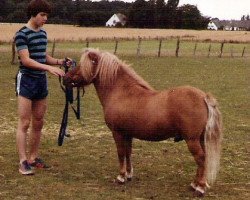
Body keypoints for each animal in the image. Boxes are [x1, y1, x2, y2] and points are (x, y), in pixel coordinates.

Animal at [63, 48, 223, 197]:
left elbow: (121, 153)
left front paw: (120, 177)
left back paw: (200, 188)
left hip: (192, 139)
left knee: (200, 158)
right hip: (200, 138)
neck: (121, 93)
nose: (65, 78)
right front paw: (128, 175)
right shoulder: (127, 134)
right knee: (203, 158)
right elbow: (128, 152)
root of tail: (203, 97)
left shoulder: (117, 133)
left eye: (83, 64)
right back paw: (194, 184)